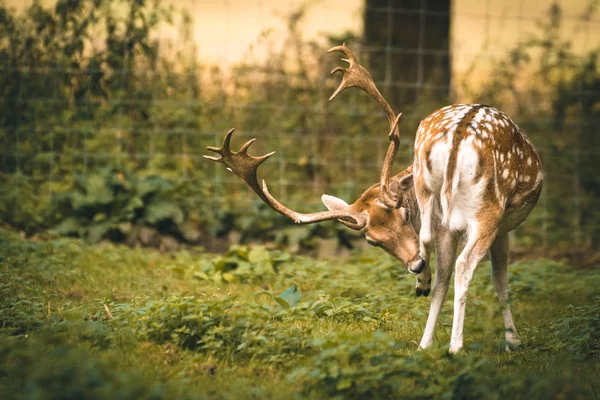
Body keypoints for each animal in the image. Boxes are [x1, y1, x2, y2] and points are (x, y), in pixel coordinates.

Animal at [203, 43, 544, 354]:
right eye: (372, 241)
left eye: (404, 215)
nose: (415, 266)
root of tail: (459, 134)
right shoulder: (500, 227)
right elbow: (500, 279)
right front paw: (513, 340)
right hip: (488, 210)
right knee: (463, 265)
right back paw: (455, 346)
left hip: (443, 207)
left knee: (436, 252)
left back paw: (425, 338)